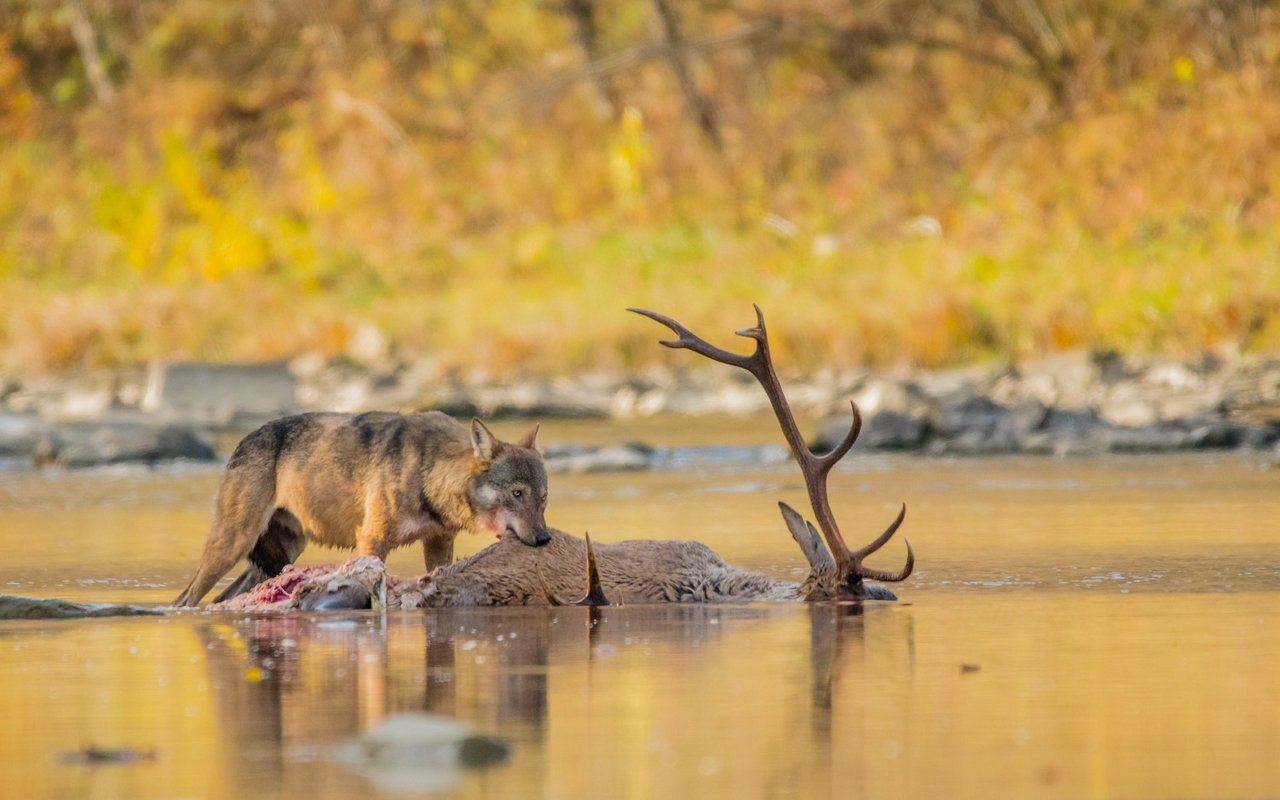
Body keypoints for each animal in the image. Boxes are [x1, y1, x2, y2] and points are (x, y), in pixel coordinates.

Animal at [172, 412, 547, 604]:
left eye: (542, 499)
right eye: (516, 493)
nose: (545, 539)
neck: (430, 472)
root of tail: (242, 440)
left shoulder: (439, 542)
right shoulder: (371, 541)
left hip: (279, 557)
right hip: (231, 547)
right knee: (186, 599)